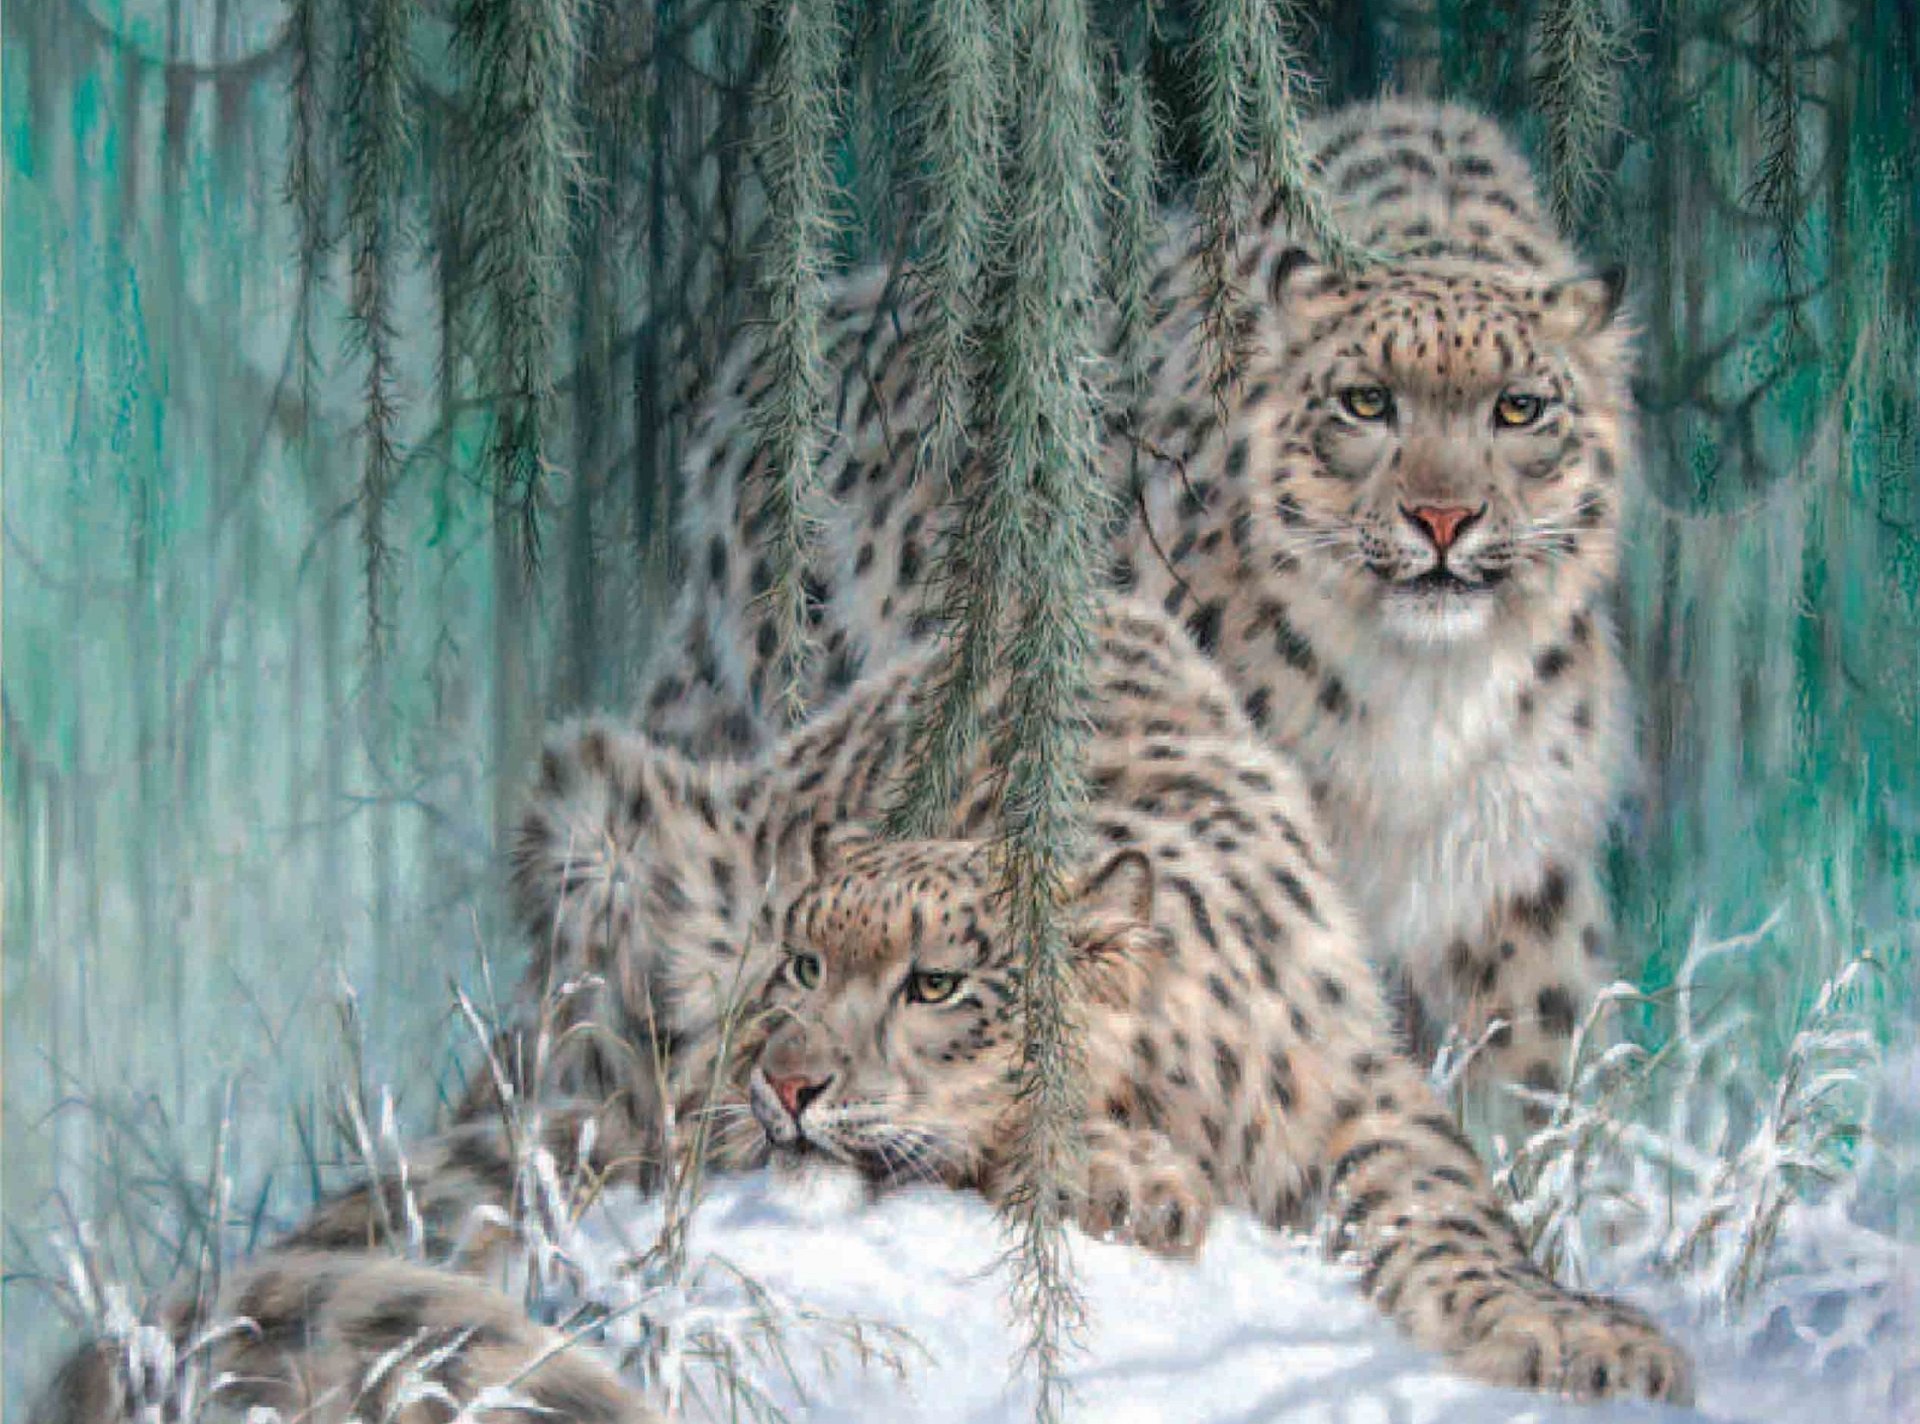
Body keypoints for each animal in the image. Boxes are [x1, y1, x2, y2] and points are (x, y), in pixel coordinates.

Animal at [637, 95, 1639, 1122]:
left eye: (1519, 409)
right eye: (1366, 402)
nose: (1443, 517)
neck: (1420, 699)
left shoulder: (1514, 878)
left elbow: (1542, 1058)